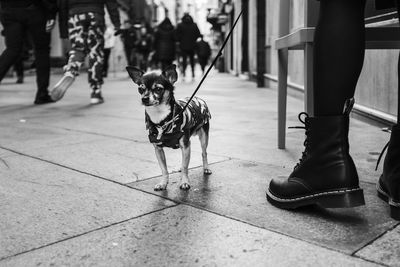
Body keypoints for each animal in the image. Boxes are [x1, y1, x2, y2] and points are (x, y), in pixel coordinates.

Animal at [126, 64, 211, 192]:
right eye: (140, 89)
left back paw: (206, 168)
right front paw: (163, 183)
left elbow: (185, 166)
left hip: (204, 136)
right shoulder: (158, 149)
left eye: (158, 89)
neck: (161, 118)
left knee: (204, 152)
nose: (144, 98)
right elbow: (164, 169)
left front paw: (184, 182)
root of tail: (198, 98)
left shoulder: (185, 145)